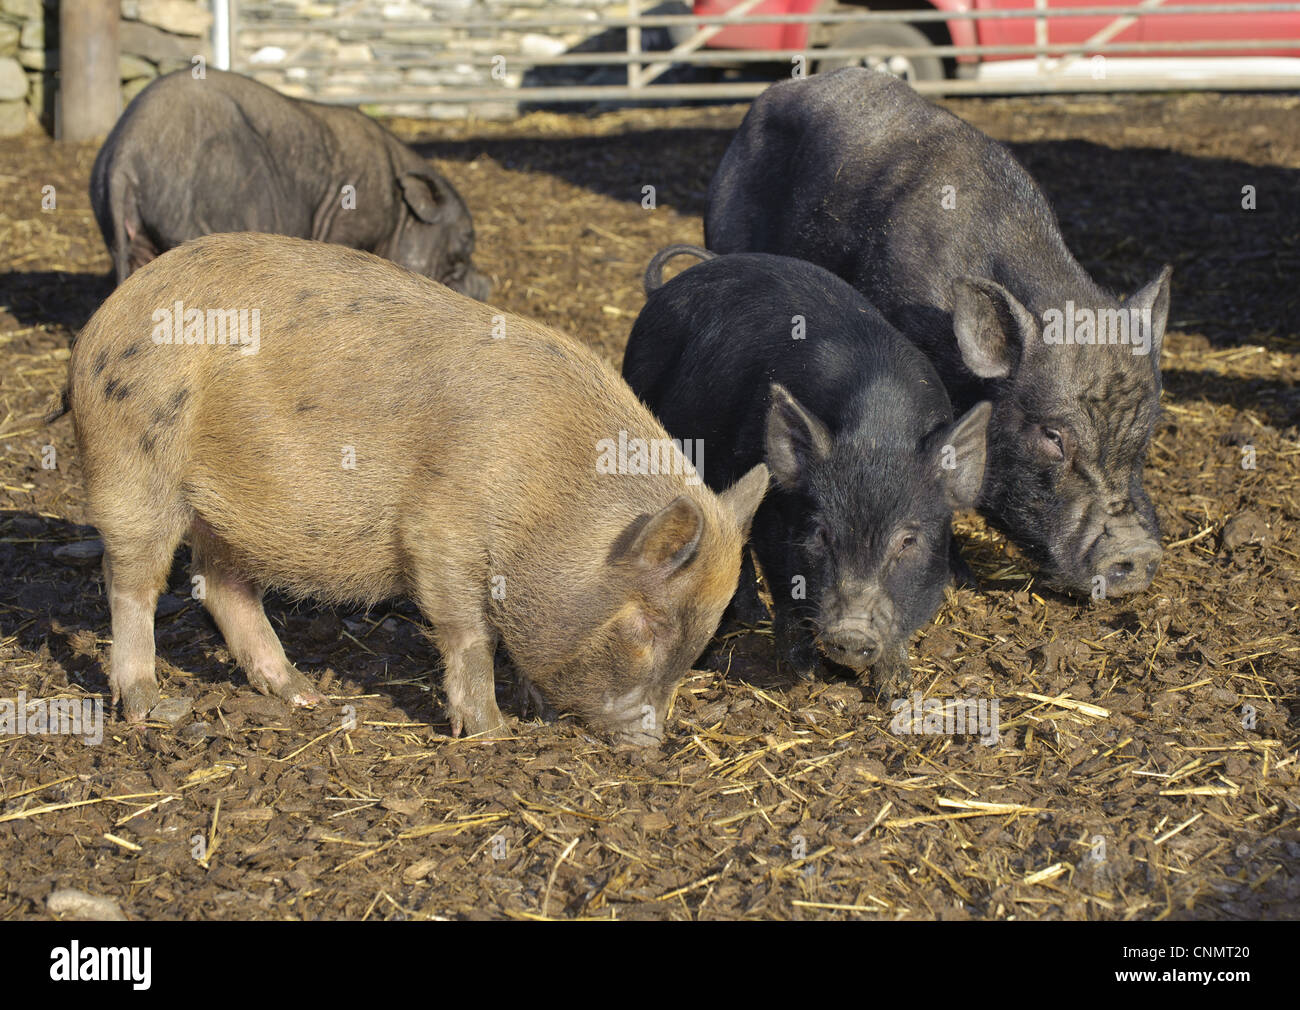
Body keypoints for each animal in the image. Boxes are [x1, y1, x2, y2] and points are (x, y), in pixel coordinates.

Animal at [89, 68, 488, 297]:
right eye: (465, 243)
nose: (485, 286)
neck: (397, 211)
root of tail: (125, 154)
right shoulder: (349, 224)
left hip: (125, 234)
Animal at [621, 248, 982, 696]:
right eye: (822, 533)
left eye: (908, 541)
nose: (852, 632)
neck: (878, 432)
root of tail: (661, 290)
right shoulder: (773, 512)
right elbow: (783, 584)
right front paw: (804, 672)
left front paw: (896, 688)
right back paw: (751, 618)